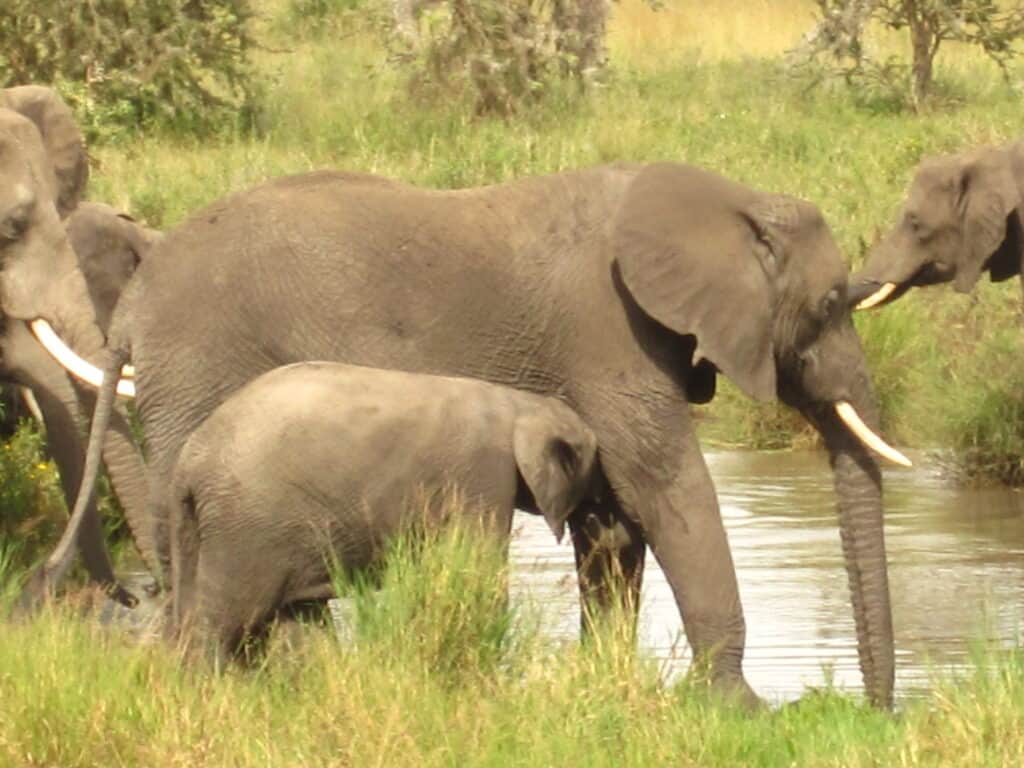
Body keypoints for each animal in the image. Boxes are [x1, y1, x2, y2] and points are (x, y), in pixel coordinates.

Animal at [168, 360, 598, 658]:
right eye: (588, 462)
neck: (519, 403)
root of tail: (188, 464)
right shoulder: (482, 474)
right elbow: (475, 575)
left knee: (295, 622)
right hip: (246, 525)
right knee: (230, 617)